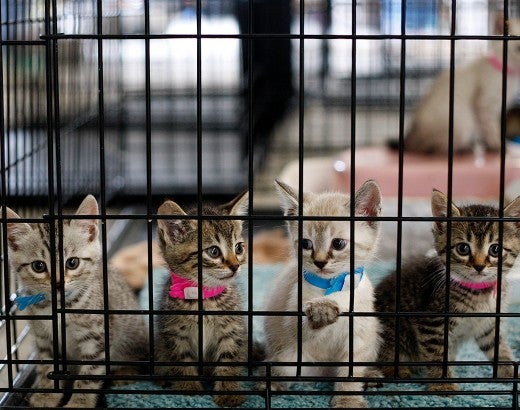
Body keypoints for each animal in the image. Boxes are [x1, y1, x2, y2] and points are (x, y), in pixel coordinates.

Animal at [5, 197, 148, 408]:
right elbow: (47, 366)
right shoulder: (44, 338)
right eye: (38, 266)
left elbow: (89, 374)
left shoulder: (96, 339)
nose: (57, 283)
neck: (58, 307)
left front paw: (80, 402)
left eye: (72, 263)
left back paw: (125, 373)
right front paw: (46, 395)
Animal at [153, 191, 249, 406]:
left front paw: (229, 392)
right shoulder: (175, 333)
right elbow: (182, 361)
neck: (204, 297)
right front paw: (190, 389)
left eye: (239, 248)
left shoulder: (232, 330)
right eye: (213, 251)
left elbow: (229, 360)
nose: (236, 266)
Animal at [264, 180, 382, 410]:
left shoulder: (359, 335)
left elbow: (351, 372)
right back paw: (271, 384)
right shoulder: (293, 319)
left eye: (338, 244)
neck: (332, 286)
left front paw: (348, 400)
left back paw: (371, 376)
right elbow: (303, 325)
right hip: (288, 359)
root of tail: (323, 373)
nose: (319, 262)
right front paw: (321, 310)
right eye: (305, 244)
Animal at [374, 191, 520, 392]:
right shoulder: (432, 322)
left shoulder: (489, 323)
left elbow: (498, 347)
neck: (479, 293)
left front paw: (510, 373)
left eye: (495, 249)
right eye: (463, 248)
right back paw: (397, 371)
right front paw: (443, 384)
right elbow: (437, 353)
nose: (479, 266)